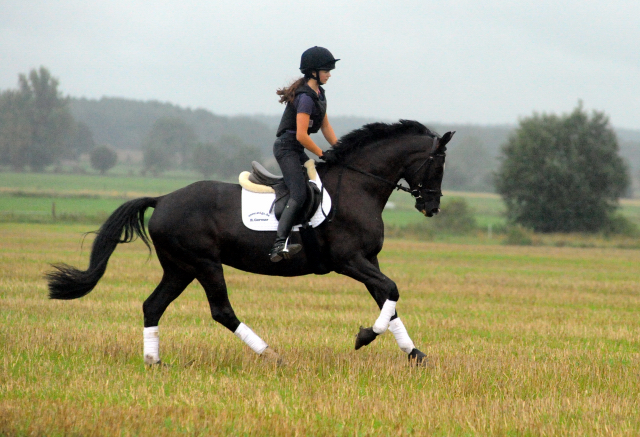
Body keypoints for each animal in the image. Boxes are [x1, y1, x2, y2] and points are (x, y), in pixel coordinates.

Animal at [47, 119, 452, 364]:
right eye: (438, 164)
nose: (431, 206)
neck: (358, 186)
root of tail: (162, 200)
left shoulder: (369, 260)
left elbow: (389, 299)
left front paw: (415, 354)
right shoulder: (349, 261)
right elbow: (392, 290)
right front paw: (365, 336)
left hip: (180, 267)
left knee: (152, 305)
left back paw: (154, 361)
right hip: (204, 264)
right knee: (221, 311)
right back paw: (271, 354)